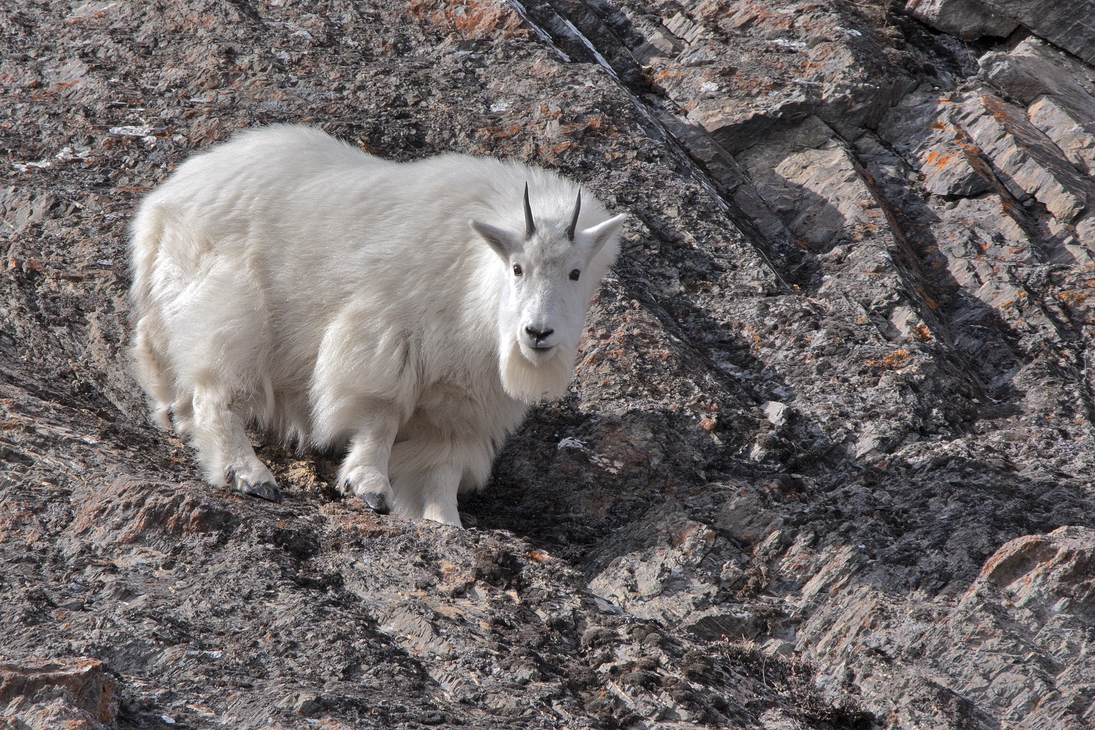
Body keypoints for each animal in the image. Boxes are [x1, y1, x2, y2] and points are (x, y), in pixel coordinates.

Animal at [128, 124, 626, 525]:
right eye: (518, 267)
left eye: (576, 272)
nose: (537, 333)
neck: (473, 274)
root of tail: (161, 203)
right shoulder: (384, 339)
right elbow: (379, 417)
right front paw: (370, 488)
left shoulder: (461, 396)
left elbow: (442, 463)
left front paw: (446, 522)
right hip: (232, 308)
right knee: (217, 394)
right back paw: (251, 476)